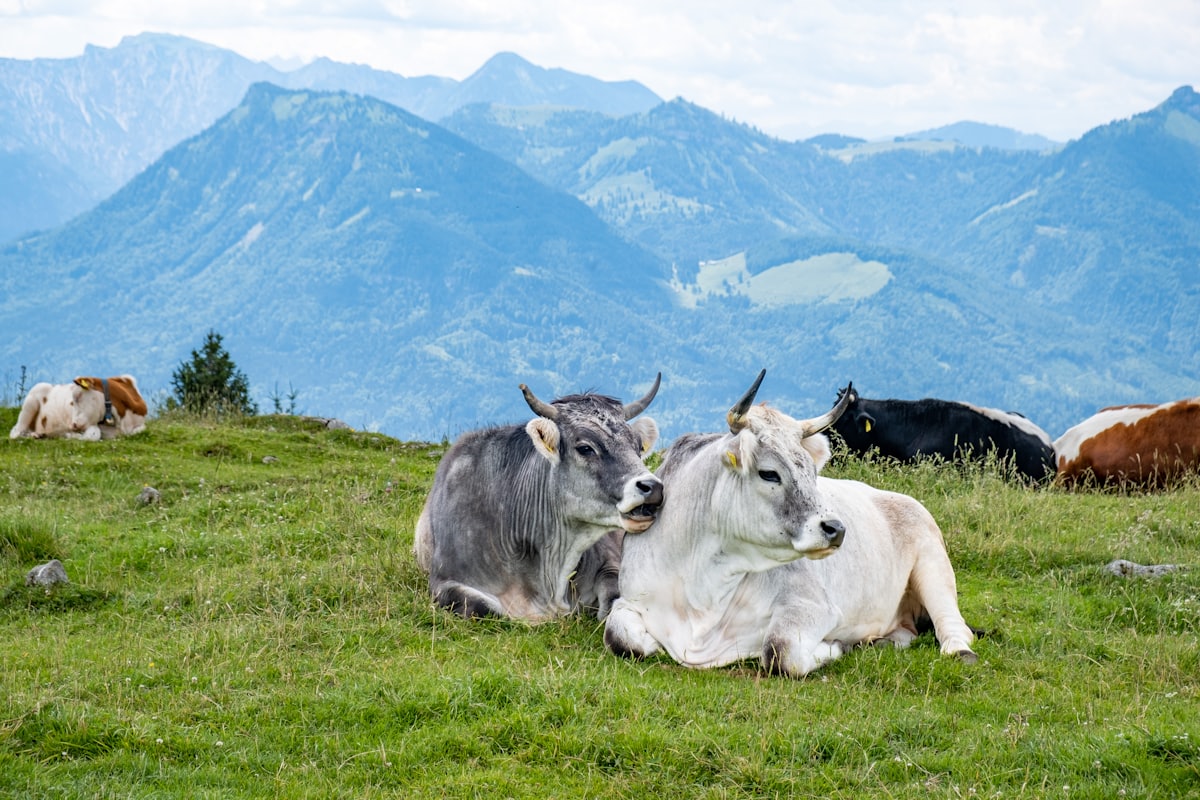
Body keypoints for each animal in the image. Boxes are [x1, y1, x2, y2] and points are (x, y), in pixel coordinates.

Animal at [10, 375, 148, 441]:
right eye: (72, 401)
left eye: (78, 396)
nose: (73, 425)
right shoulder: (93, 424)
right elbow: (94, 435)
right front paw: (70, 435)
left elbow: (139, 430)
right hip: (31, 402)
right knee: (16, 432)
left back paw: (38, 434)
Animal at [413, 374, 664, 622]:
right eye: (585, 448)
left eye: (638, 446)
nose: (653, 487)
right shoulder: (443, 581)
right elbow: (482, 607)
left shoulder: (611, 562)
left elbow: (612, 600)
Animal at [604, 370, 977, 678]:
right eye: (769, 473)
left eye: (812, 471)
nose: (836, 529)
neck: (703, 589)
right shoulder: (631, 599)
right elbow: (619, 636)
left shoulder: (814, 606)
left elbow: (780, 651)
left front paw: (834, 647)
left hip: (933, 565)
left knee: (954, 625)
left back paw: (958, 650)